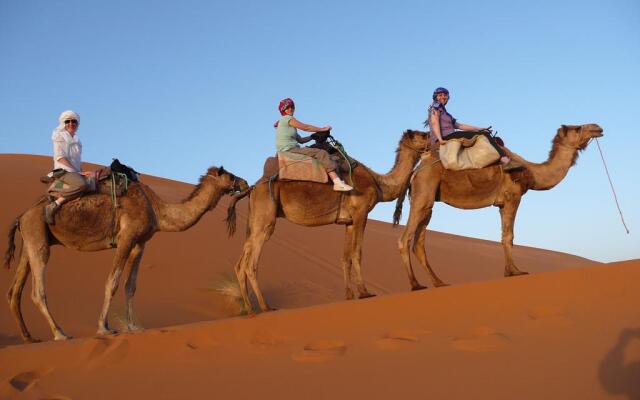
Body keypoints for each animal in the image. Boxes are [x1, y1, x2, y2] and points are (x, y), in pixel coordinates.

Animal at [3, 167, 249, 342]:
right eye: (228, 174)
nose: (244, 182)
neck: (156, 210)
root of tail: (21, 216)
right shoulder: (125, 238)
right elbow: (111, 282)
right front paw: (103, 328)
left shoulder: (140, 242)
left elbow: (131, 285)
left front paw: (134, 326)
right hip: (37, 237)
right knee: (37, 291)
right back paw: (60, 333)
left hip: (30, 242)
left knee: (15, 290)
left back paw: (28, 337)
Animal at [225, 130, 430, 314]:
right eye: (423, 135)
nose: (433, 140)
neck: (379, 184)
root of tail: (252, 188)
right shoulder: (360, 214)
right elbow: (357, 253)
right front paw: (365, 292)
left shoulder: (348, 222)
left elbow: (345, 257)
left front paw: (349, 295)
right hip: (265, 220)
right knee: (251, 264)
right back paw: (266, 307)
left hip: (254, 221)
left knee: (240, 263)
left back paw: (250, 309)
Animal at [392, 123, 604, 290]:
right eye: (576, 128)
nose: (597, 127)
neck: (530, 172)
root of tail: (417, 169)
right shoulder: (512, 197)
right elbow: (509, 236)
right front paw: (516, 271)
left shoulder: (501, 204)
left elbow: (503, 236)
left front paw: (508, 270)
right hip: (423, 191)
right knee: (404, 239)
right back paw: (415, 285)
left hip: (428, 202)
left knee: (419, 242)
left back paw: (439, 282)